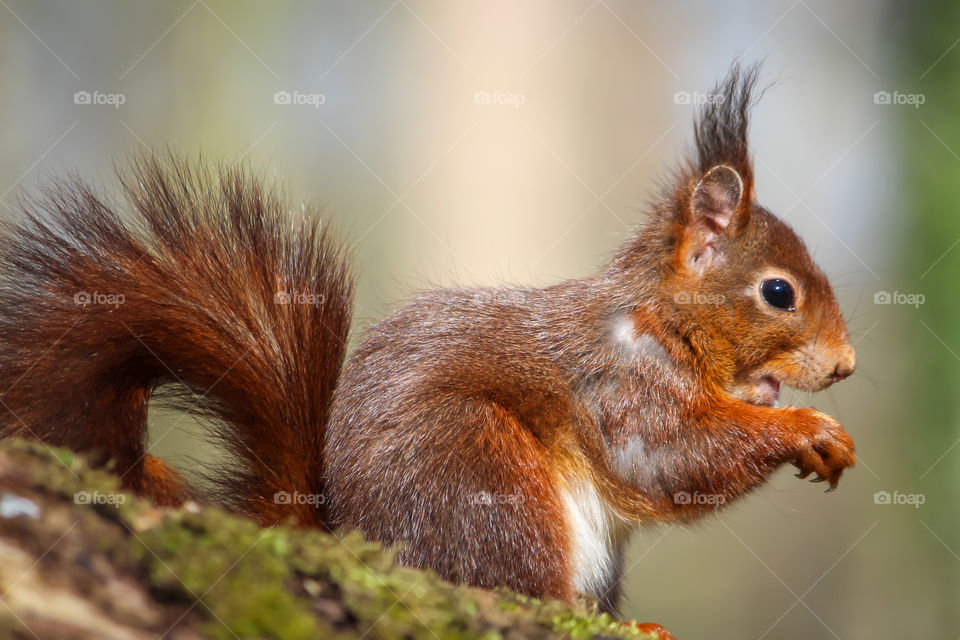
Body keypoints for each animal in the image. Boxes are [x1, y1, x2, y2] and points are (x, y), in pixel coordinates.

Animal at [0, 63, 856, 616]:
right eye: (778, 292)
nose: (847, 366)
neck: (662, 321)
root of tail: (358, 537)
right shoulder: (618, 384)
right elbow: (672, 456)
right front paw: (805, 428)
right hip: (482, 473)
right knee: (507, 582)